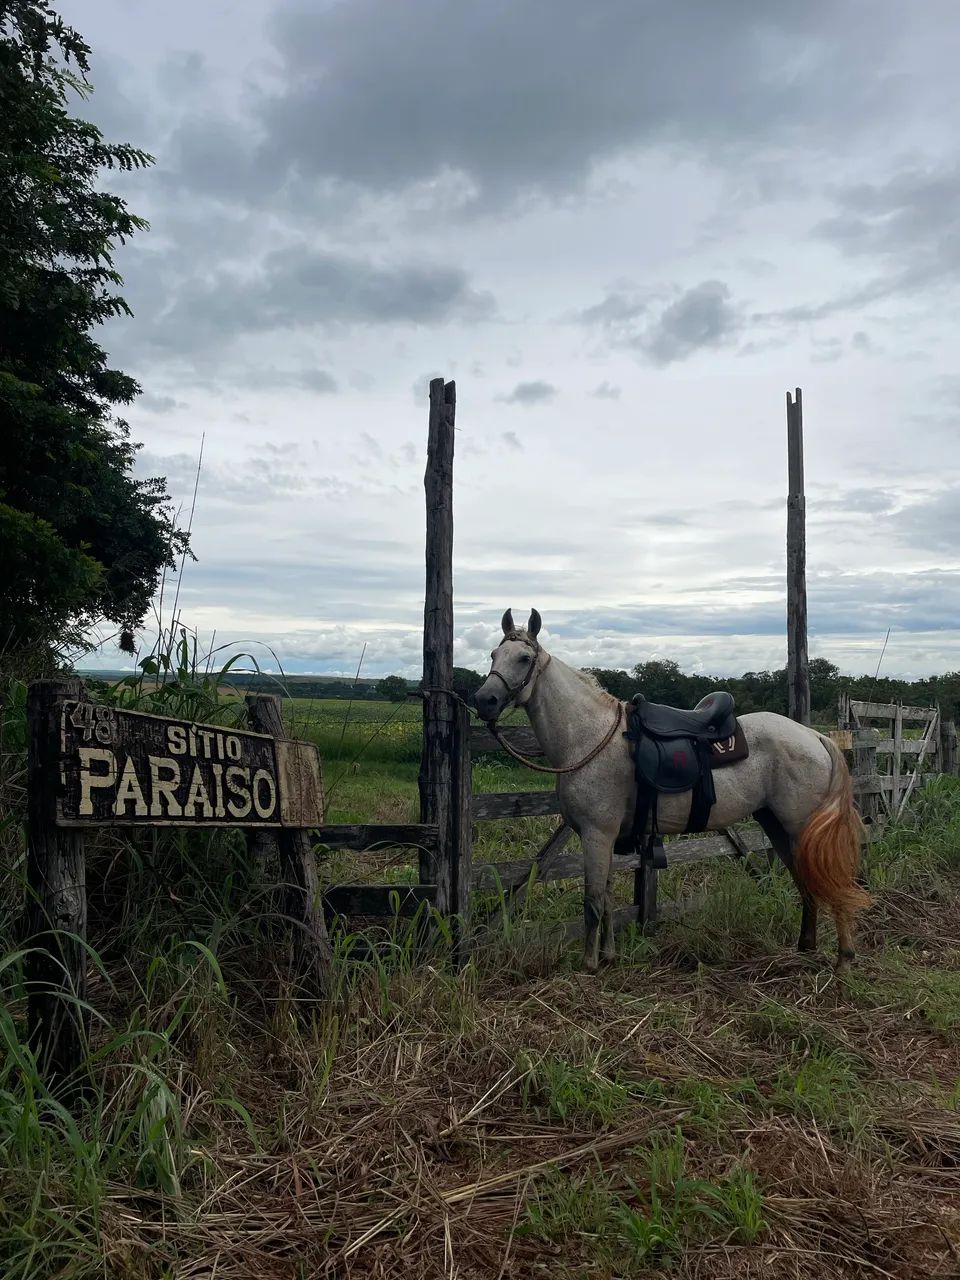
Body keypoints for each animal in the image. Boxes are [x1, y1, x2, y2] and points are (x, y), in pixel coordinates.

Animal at [473, 608, 872, 974]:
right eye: (493, 654)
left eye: (524, 658)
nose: (484, 701)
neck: (589, 737)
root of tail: (815, 737)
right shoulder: (603, 837)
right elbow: (607, 898)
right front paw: (608, 957)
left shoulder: (596, 834)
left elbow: (593, 901)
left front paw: (588, 966)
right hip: (776, 824)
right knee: (805, 879)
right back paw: (805, 948)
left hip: (800, 826)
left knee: (829, 879)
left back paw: (844, 960)